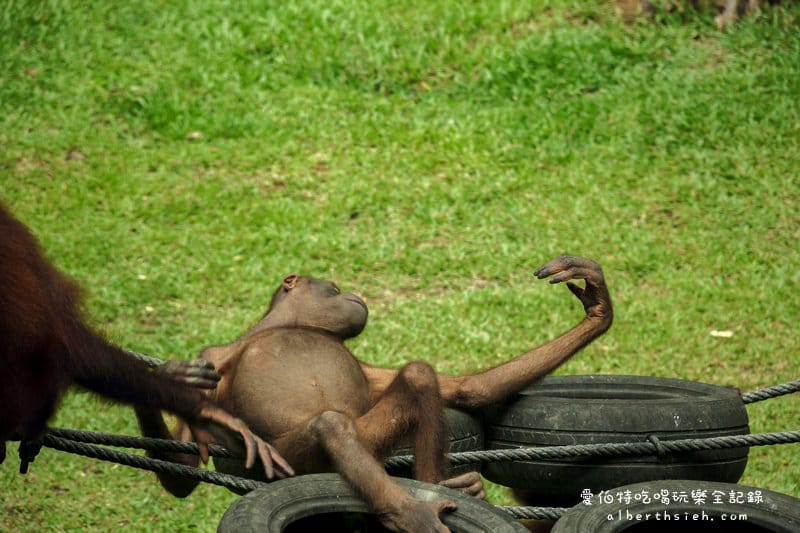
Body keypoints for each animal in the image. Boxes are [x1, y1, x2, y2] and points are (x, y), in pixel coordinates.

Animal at [135, 255, 612, 532]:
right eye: (331, 286)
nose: (353, 292)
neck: (288, 327)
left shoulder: (363, 367)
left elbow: (468, 390)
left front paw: (597, 308)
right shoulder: (211, 359)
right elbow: (183, 470)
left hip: (369, 440)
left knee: (417, 379)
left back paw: (439, 488)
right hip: (293, 462)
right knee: (331, 425)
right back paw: (412, 512)